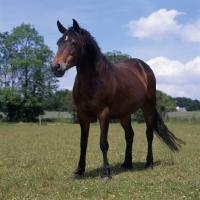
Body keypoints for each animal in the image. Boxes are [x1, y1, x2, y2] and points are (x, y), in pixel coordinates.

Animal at [51, 19, 184, 180]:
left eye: (74, 43)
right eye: (58, 43)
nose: (56, 67)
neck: (93, 80)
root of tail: (143, 66)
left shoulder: (103, 113)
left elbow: (103, 143)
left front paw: (106, 172)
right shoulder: (82, 114)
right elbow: (83, 142)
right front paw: (79, 170)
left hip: (148, 107)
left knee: (149, 134)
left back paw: (149, 163)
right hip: (124, 114)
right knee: (129, 135)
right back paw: (127, 164)